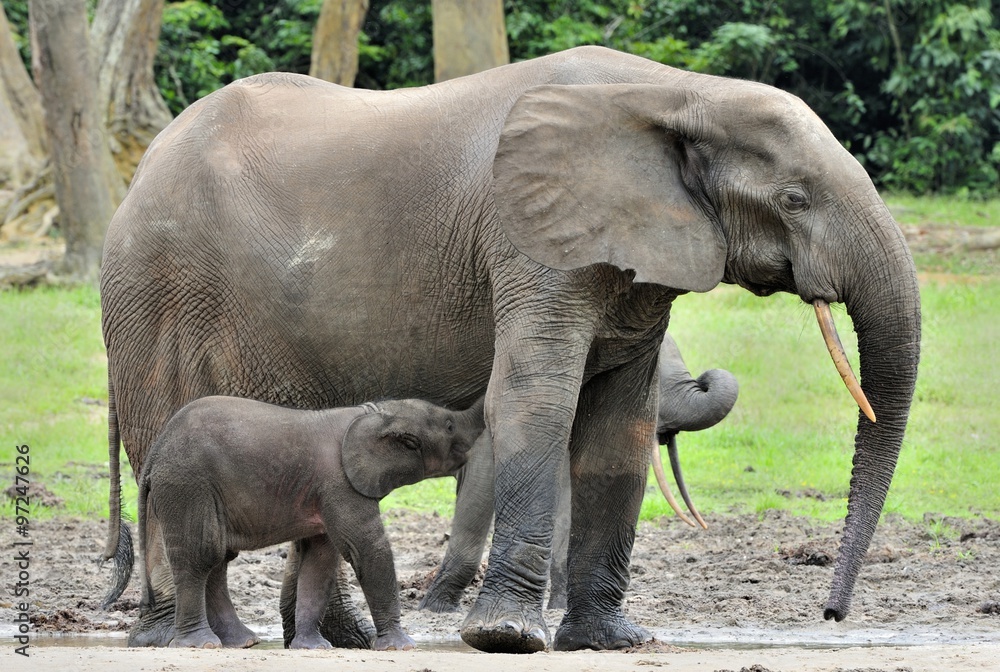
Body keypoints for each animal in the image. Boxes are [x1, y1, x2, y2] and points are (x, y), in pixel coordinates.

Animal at [137, 395, 484, 649]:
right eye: (449, 426)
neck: (372, 412)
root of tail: (154, 454)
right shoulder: (341, 484)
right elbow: (367, 550)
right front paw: (403, 647)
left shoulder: (327, 490)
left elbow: (320, 561)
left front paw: (313, 648)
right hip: (187, 483)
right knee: (202, 555)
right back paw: (202, 645)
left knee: (219, 559)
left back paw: (242, 643)